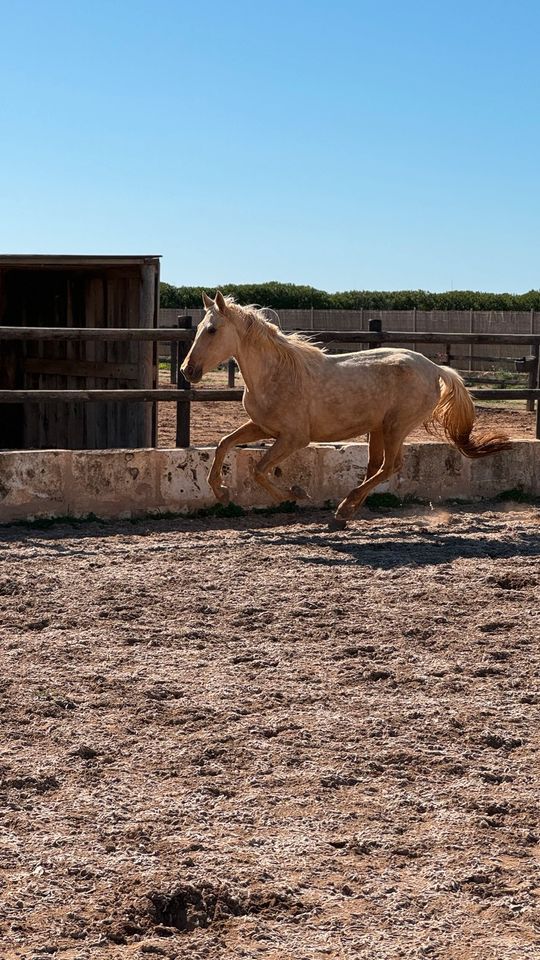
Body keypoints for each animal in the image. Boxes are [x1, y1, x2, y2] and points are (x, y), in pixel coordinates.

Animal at [181, 292, 510, 532]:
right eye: (197, 330)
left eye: (212, 330)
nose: (187, 370)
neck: (276, 373)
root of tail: (435, 368)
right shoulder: (262, 427)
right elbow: (224, 444)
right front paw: (221, 492)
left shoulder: (294, 438)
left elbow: (259, 470)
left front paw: (296, 494)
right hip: (378, 429)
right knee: (376, 467)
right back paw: (345, 514)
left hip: (396, 428)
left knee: (390, 467)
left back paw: (342, 509)